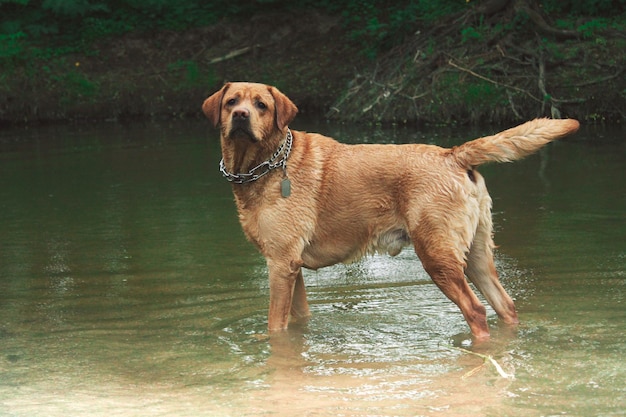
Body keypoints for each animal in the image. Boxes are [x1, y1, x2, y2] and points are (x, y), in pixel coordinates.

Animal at [202, 81, 576, 338]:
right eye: (232, 102)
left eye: (261, 105)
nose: (240, 116)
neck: (265, 164)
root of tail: (453, 154)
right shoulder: (293, 268)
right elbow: (298, 320)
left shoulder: (280, 264)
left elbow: (274, 326)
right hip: (476, 256)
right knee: (505, 306)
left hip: (437, 257)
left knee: (476, 311)